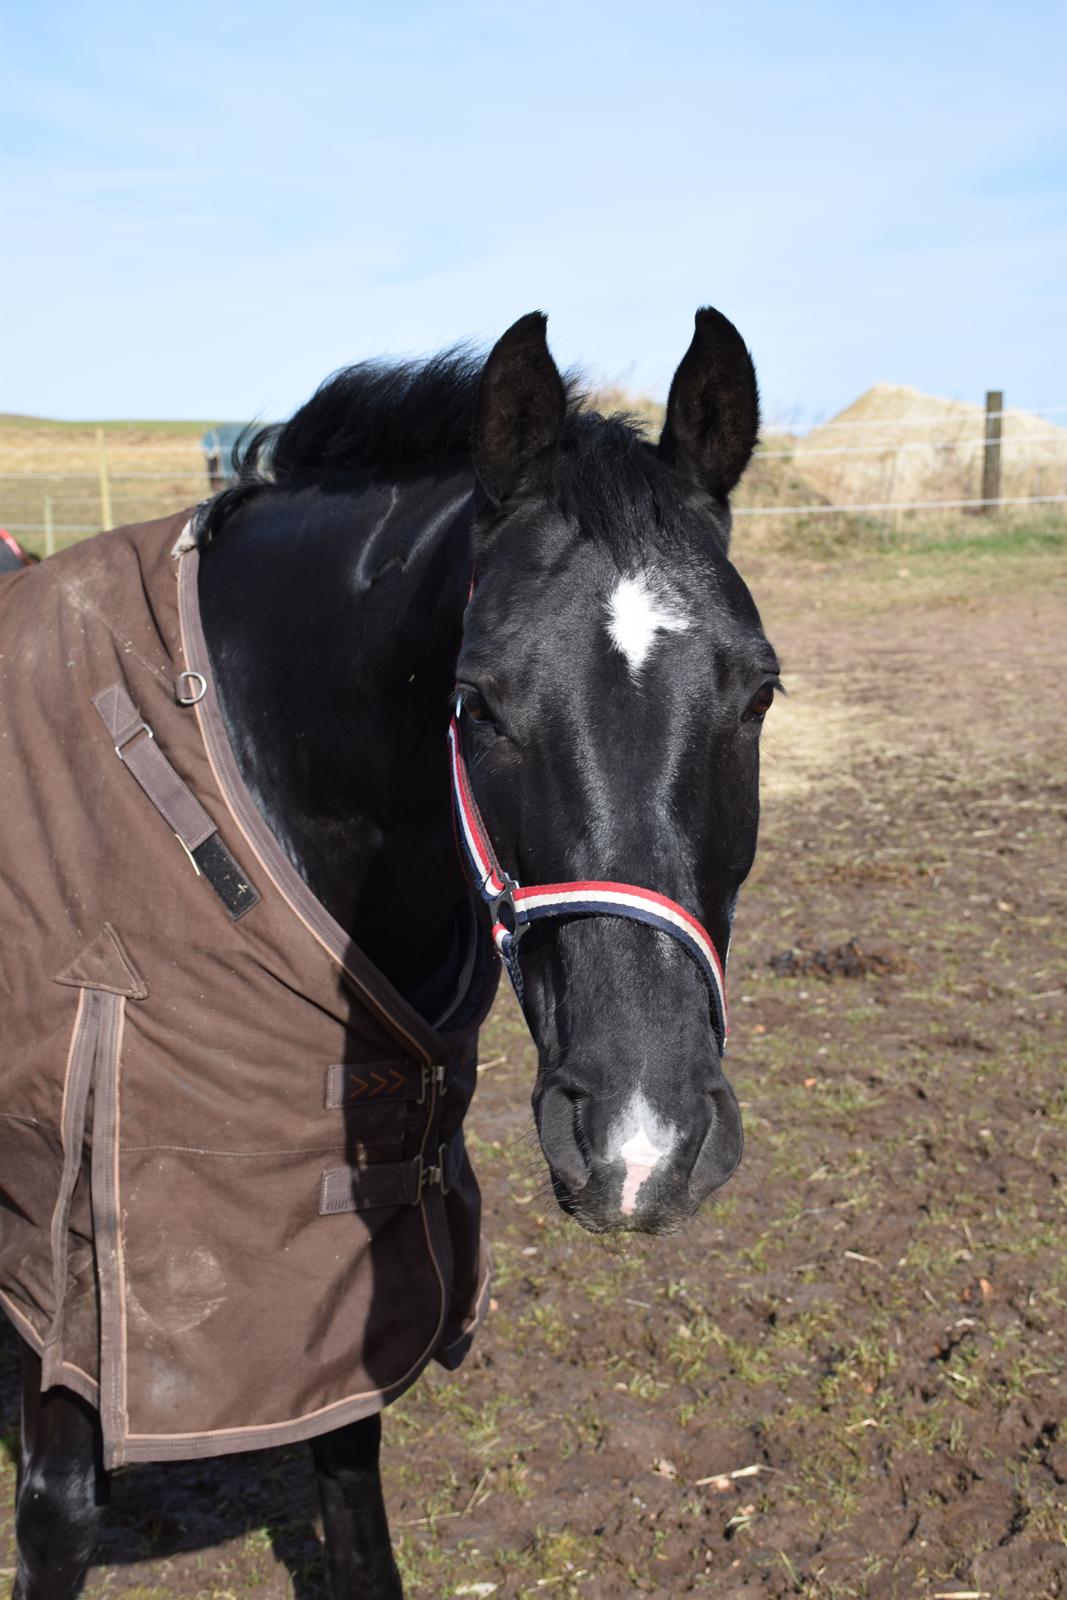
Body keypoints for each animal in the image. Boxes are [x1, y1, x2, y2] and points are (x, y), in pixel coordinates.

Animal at [8, 305, 777, 1593]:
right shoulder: (68, 1240)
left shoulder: (337, 1245)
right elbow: (60, 1509)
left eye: (758, 691)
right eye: (474, 702)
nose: (643, 1144)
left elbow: (347, 1475)